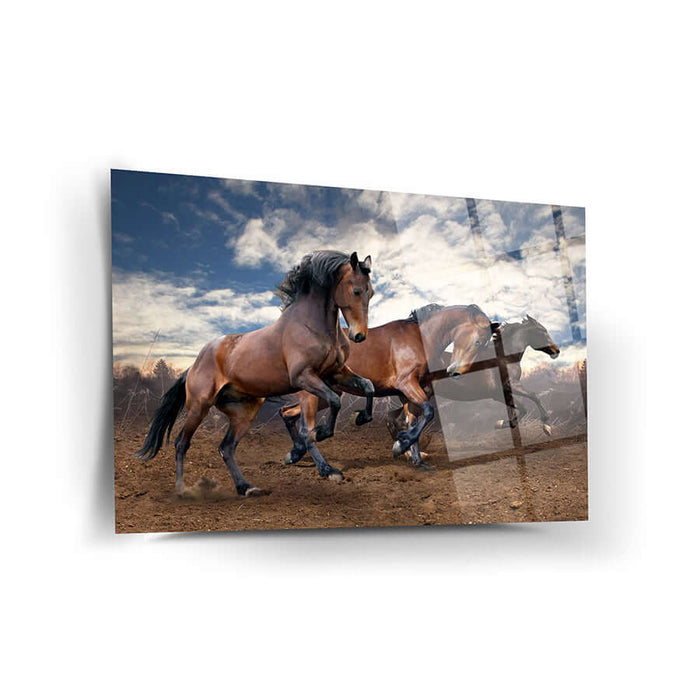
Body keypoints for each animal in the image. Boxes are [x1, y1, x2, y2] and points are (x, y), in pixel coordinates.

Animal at [136, 250, 375, 496]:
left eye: (371, 292)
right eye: (356, 291)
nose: (359, 336)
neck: (312, 325)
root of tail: (193, 366)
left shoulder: (336, 373)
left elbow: (368, 386)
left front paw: (361, 417)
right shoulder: (304, 378)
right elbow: (333, 403)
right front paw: (321, 439)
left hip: (244, 412)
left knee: (226, 448)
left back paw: (246, 487)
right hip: (199, 407)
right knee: (181, 443)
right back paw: (182, 489)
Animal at [279, 303, 493, 471]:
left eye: (484, 344)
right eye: (478, 341)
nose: (456, 372)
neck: (420, 338)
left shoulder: (409, 393)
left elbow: (413, 420)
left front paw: (416, 459)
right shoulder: (407, 384)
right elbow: (428, 412)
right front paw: (401, 446)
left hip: (327, 395)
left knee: (287, 413)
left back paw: (295, 454)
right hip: (312, 395)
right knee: (305, 430)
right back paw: (325, 469)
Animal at [386, 315, 561, 456]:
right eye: (542, 331)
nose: (556, 351)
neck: (504, 358)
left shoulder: (501, 394)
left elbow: (520, 410)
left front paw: (500, 424)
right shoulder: (508, 387)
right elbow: (533, 397)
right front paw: (547, 427)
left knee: (393, 418)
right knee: (402, 421)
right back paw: (413, 453)